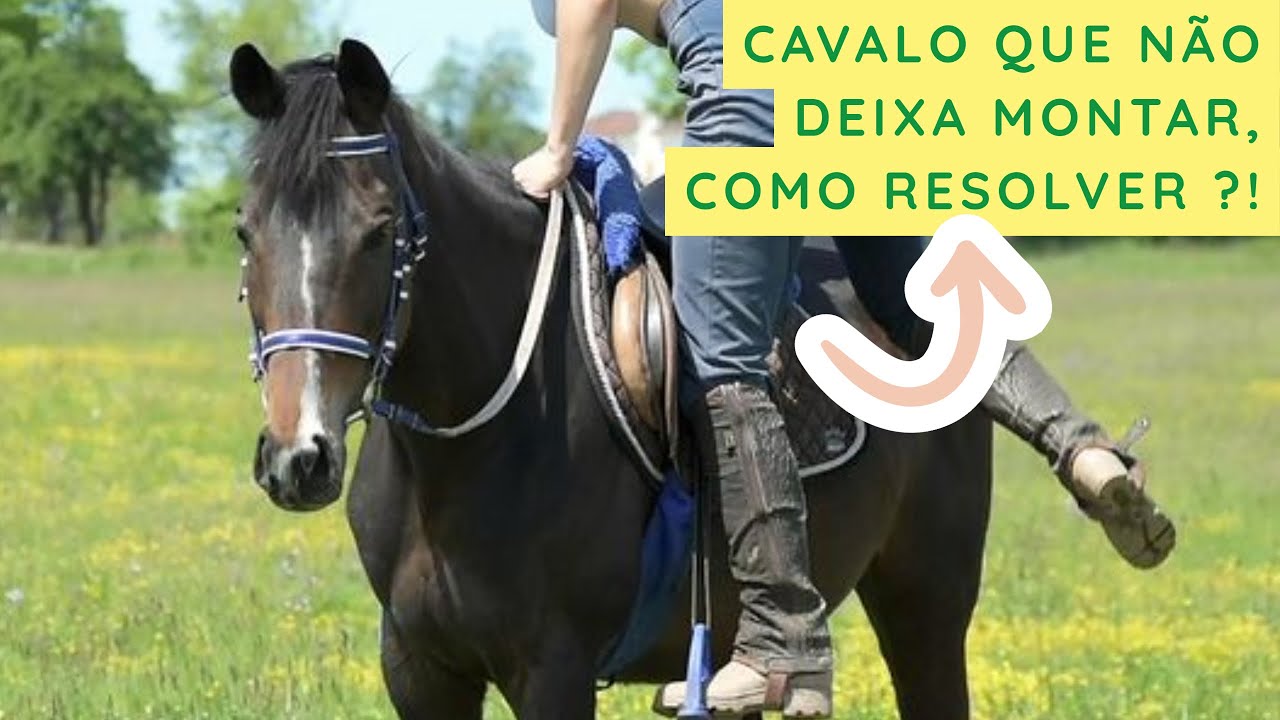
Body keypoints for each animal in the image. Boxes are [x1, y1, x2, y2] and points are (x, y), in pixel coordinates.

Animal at [230, 39, 993, 720]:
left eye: (380, 229)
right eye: (245, 229)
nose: (300, 458)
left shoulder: (554, 670)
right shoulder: (418, 668)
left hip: (926, 604)